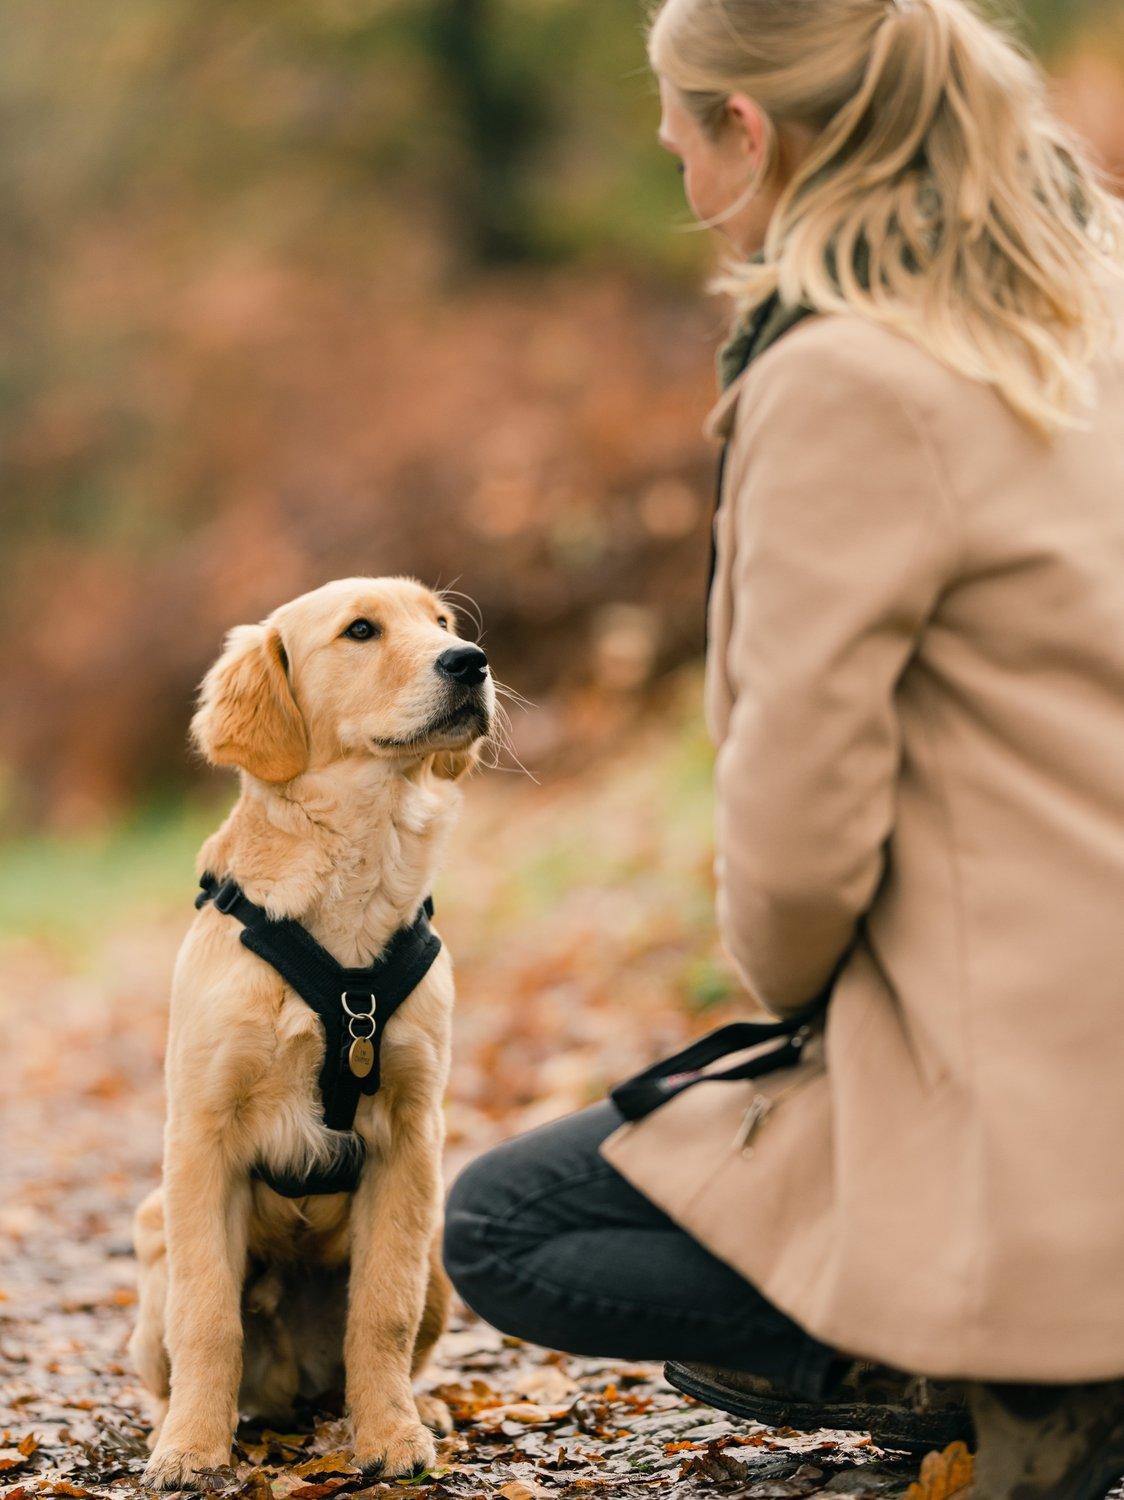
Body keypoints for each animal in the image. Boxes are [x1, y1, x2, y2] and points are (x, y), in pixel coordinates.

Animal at [126, 576, 492, 1488]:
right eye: (361, 631)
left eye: (442, 622)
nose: (471, 663)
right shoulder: (202, 1138)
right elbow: (208, 1316)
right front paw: (190, 1449)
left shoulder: (410, 1138)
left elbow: (383, 1313)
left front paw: (391, 1436)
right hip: (150, 1240)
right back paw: (168, 1423)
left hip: (438, 1249)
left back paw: (412, 1407)